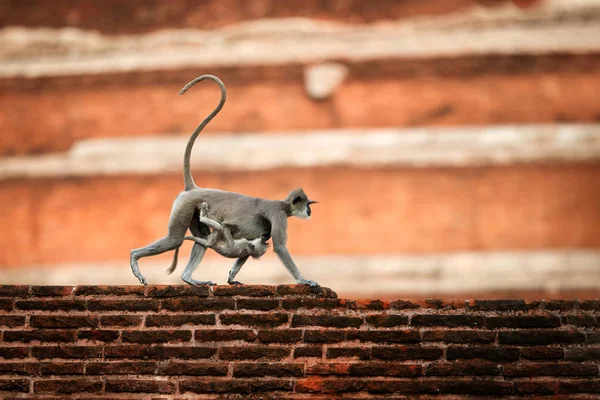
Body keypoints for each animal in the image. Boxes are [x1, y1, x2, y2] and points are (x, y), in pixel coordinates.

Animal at [129, 73, 322, 290]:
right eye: (308, 204)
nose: (310, 211)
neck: (283, 205)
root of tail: (193, 188)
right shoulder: (278, 214)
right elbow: (280, 247)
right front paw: (304, 280)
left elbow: (248, 248)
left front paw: (231, 278)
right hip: (185, 206)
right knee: (175, 240)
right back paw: (135, 256)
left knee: (202, 238)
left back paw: (189, 278)